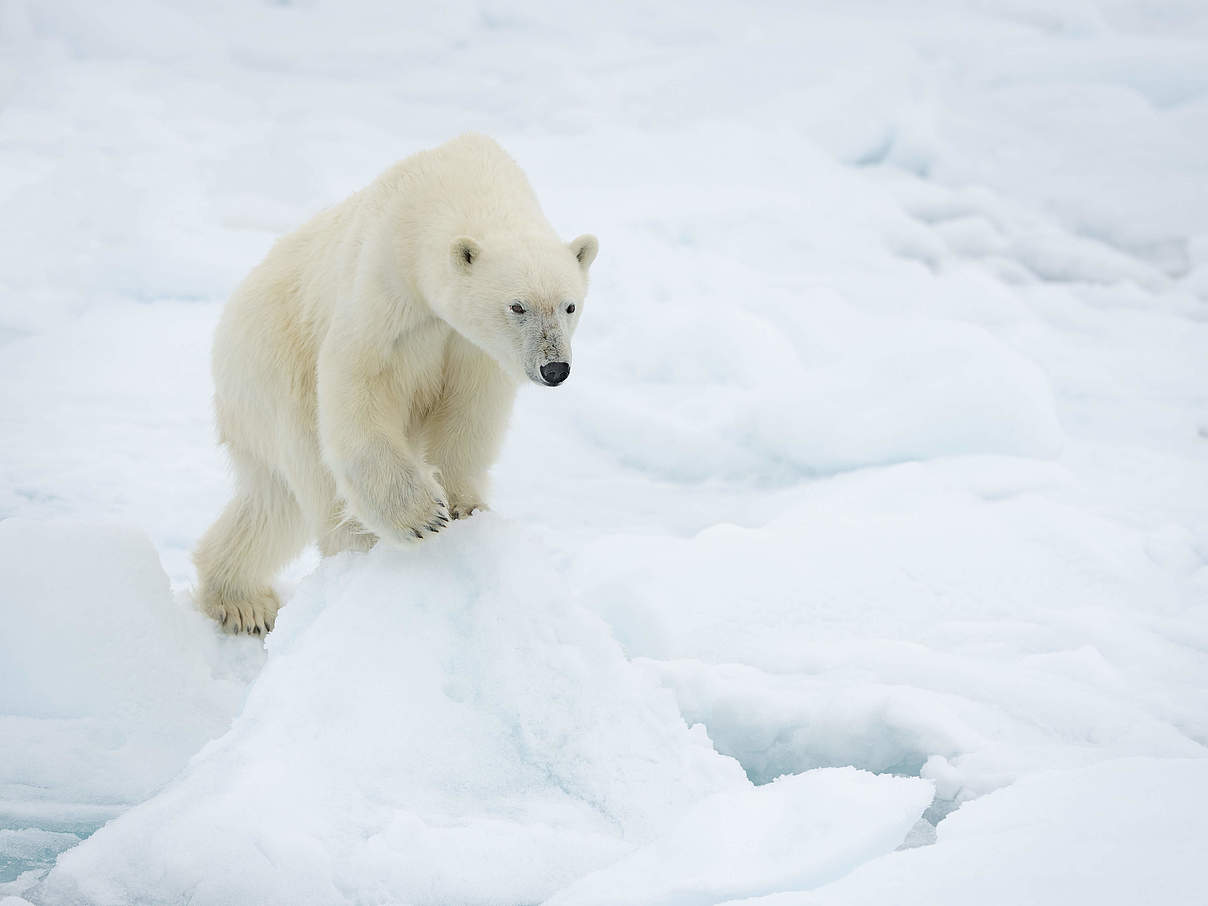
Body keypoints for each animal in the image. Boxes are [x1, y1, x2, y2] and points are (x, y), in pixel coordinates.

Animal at [192, 131, 599, 632]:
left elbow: (471, 409)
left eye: (569, 305)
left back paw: (241, 599)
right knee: (316, 478)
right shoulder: (386, 281)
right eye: (516, 306)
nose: (554, 368)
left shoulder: (470, 347)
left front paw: (465, 505)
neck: (458, 183)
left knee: (271, 503)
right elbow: (359, 380)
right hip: (274, 369)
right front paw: (424, 516)